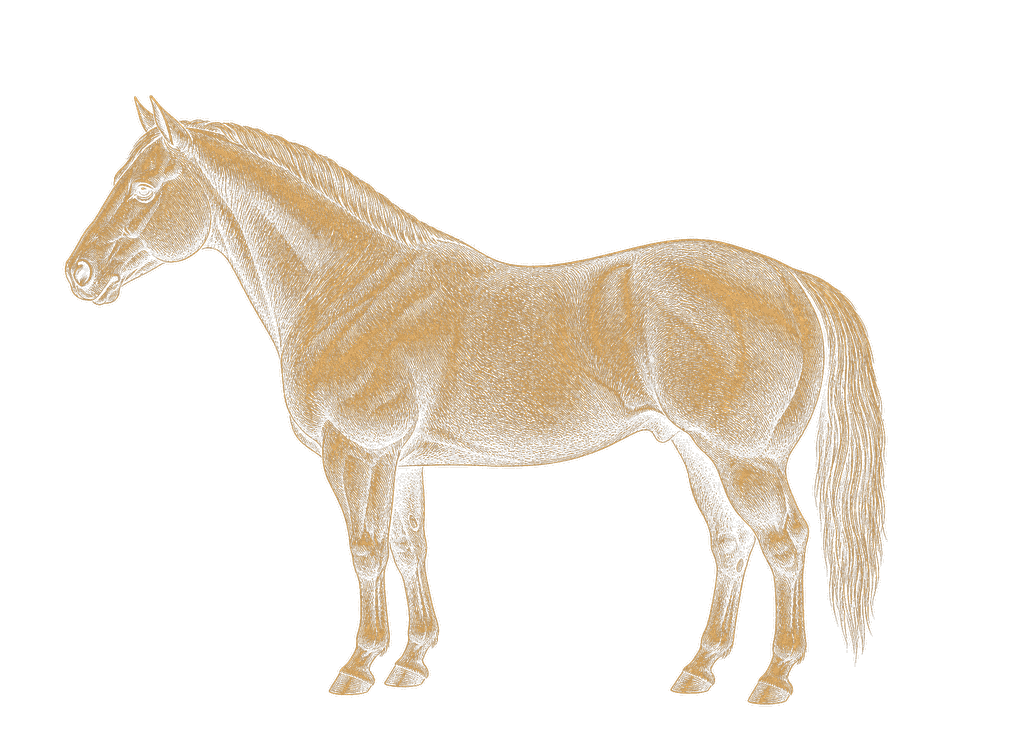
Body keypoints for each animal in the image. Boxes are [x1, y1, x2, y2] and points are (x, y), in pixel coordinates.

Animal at [63, 96, 886, 705]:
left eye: (142, 188)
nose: (78, 273)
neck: (354, 288)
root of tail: (789, 280)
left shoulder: (356, 454)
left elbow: (365, 551)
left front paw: (357, 668)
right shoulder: (402, 462)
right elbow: (409, 549)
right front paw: (410, 663)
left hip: (746, 460)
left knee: (784, 544)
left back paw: (772, 679)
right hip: (695, 452)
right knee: (729, 544)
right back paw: (697, 671)